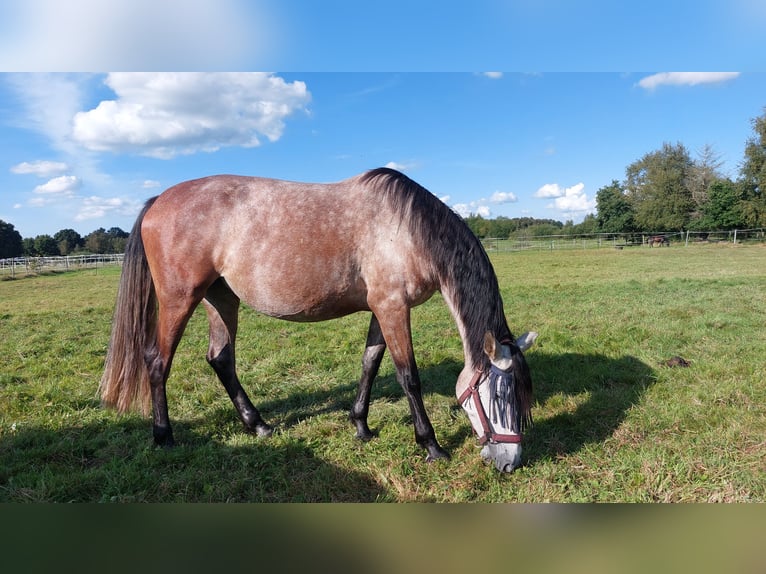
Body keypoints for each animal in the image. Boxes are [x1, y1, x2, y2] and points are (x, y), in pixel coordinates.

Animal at [99, 168, 537, 472]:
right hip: (180, 299)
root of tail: (158, 200)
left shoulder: (382, 309)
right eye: (501, 396)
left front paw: (361, 426)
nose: (510, 463)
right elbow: (407, 376)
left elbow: (370, 363)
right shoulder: (393, 307)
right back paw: (164, 436)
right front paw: (431, 446)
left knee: (220, 359)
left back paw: (258, 425)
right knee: (157, 361)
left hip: (220, 298)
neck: (408, 230)